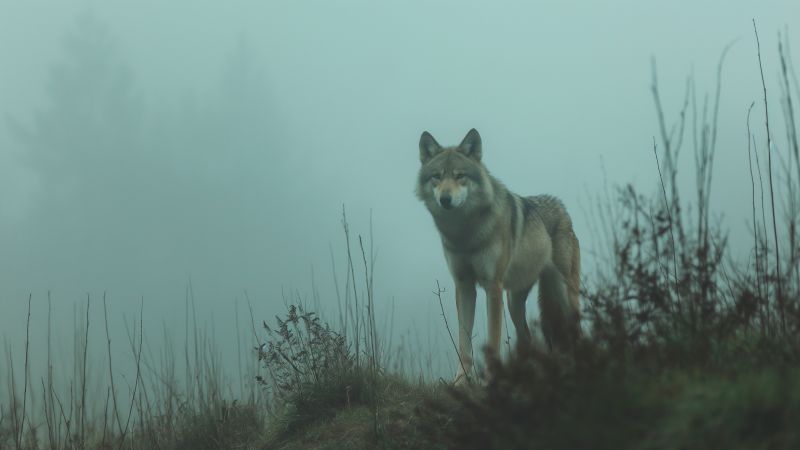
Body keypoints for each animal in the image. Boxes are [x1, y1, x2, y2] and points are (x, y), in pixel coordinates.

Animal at [416, 128, 581, 384]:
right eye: (437, 176)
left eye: (460, 176)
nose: (445, 199)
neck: (465, 234)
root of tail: (563, 209)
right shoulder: (464, 286)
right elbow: (464, 341)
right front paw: (461, 381)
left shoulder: (493, 287)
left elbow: (493, 339)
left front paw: (490, 381)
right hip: (514, 301)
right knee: (527, 338)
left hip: (564, 295)